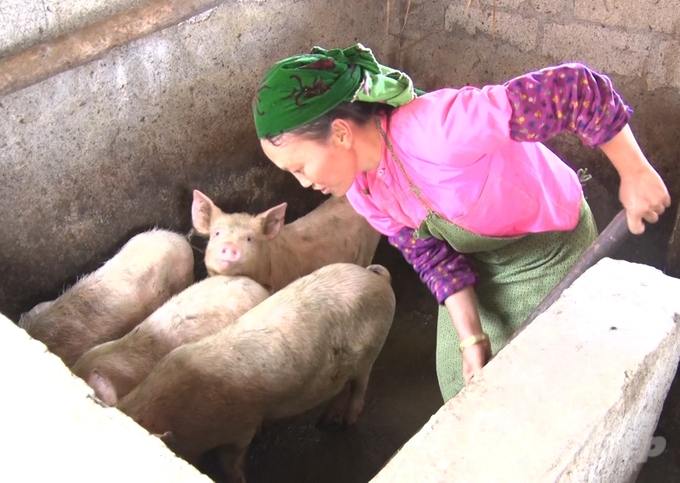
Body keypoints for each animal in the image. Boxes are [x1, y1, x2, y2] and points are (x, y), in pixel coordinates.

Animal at [115, 264, 394, 483]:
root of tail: (378, 278)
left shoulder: (242, 425)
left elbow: (231, 461)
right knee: (340, 388)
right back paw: (325, 422)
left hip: (371, 351)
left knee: (360, 386)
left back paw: (347, 424)